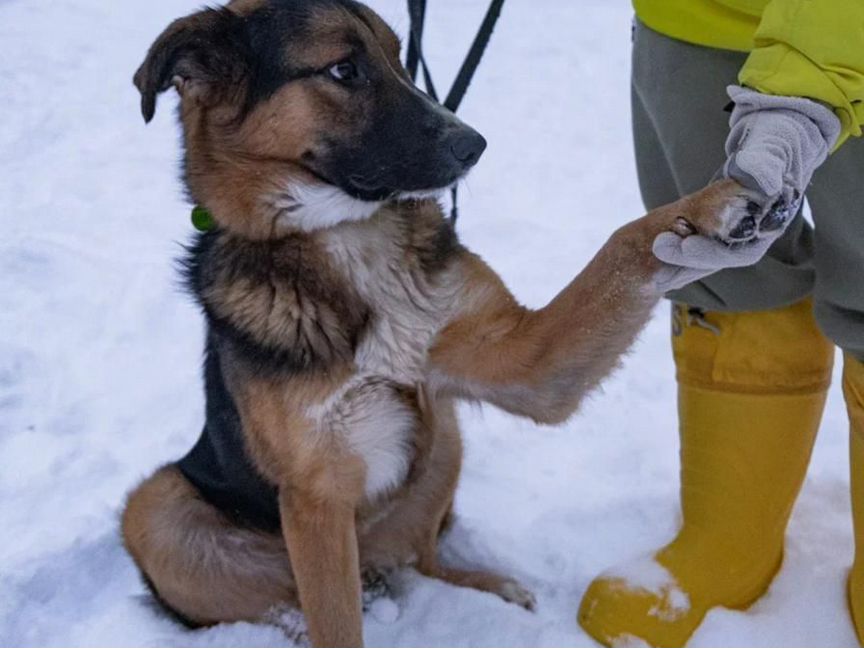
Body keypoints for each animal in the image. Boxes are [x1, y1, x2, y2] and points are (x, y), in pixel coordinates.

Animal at [121, 1, 768, 648]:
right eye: (343, 69)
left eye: (400, 59)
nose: (474, 144)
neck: (349, 237)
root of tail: (374, 567)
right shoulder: (315, 498)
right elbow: (337, 626)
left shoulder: (525, 362)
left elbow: (625, 245)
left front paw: (707, 209)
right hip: (156, 508)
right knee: (285, 600)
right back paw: (298, 624)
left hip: (443, 442)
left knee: (422, 557)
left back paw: (490, 586)